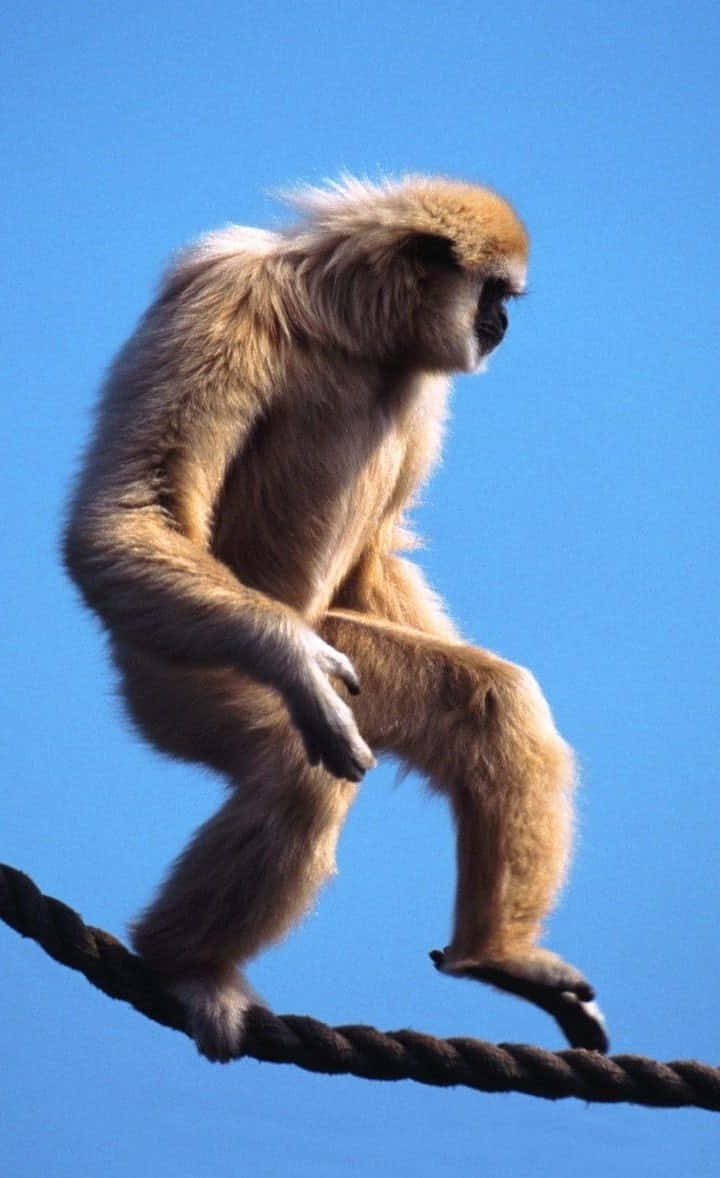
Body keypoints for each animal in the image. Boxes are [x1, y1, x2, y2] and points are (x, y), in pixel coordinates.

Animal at [63, 175, 608, 1061]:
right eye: (494, 294)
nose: (501, 324)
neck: (345, 325)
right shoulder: (222, 294)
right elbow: (126, 514)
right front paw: (292, 661)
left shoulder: (420, 383)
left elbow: (376, 559)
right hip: (177, 665)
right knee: (299, 766)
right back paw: (185, 965)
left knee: (492, 703)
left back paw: (495, 955)